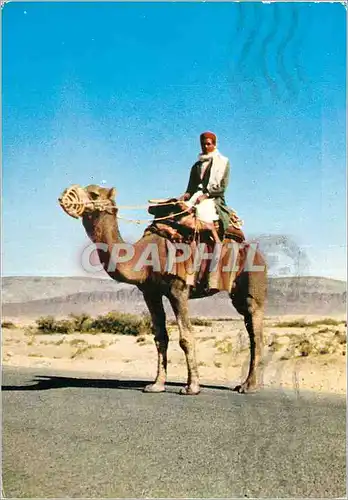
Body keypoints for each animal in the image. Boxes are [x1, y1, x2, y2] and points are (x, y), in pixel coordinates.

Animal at [59, 184, 266, 394]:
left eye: (93, 194)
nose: (65, 195)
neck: (144, 258)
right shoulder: (150, 292)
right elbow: (160, 337)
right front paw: (156, 385)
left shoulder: (178, 290)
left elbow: (186, 337)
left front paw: (192, 387)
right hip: (237, 295)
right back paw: (250, 383)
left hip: (253, 283)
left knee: (256, 333)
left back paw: (249, 386)